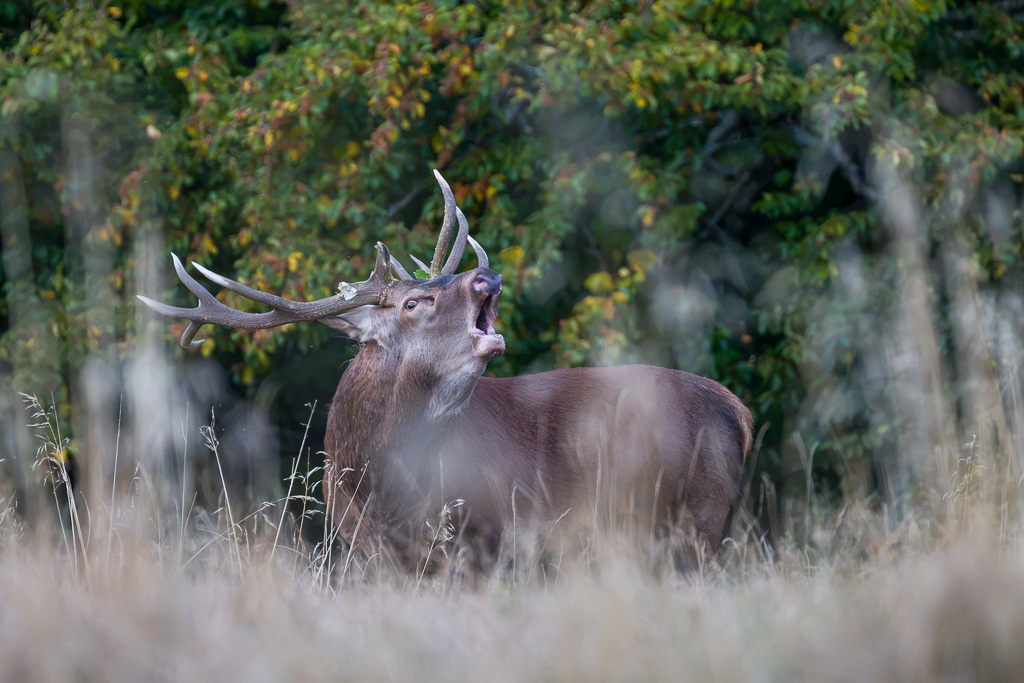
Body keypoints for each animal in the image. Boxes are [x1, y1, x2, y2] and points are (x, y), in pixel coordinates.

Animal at [139, 170, 753, 573]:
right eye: (415, 302)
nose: (487, 276)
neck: (383, 491)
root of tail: (738, 410)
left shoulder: (486, 537)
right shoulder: (371, 551)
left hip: (684, 517)